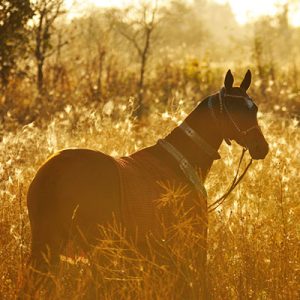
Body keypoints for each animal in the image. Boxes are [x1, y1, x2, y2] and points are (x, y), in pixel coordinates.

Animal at [26, 69, 270, 296]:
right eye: (233, 109)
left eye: (254, 109)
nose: (261, 148)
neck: (180, 160)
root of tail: (52, 172)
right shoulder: (189, 241)